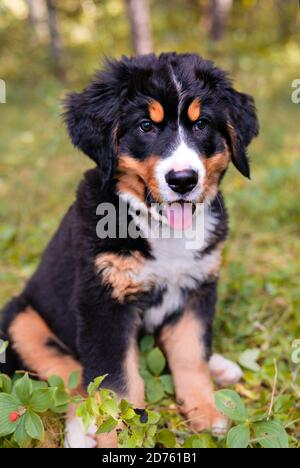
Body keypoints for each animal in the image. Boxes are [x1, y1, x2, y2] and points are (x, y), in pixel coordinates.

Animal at [0, 53, 258, 448]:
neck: (162, 231)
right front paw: (119, 435)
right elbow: (116, 381)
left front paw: (207, 411)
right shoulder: (104, 304)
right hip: (19, 319)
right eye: (145, 127)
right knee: (70, 375)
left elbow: (190, 355)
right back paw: (81, 431)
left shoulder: (196, 289)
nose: (183, 180)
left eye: (201, 124)